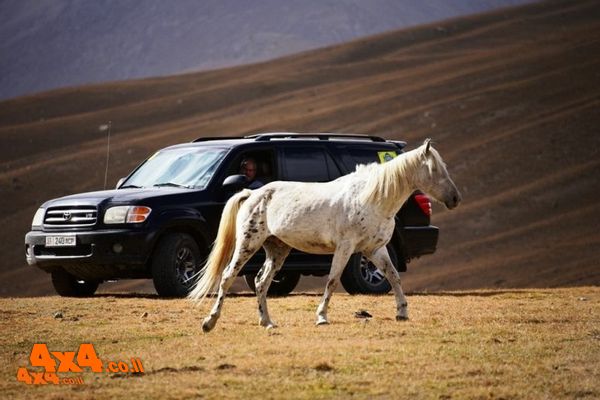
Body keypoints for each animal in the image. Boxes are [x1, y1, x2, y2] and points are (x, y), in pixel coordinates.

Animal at [190, 139, 462, 332]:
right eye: (435, 169)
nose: (455, 198)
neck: (370, 199)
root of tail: (252, 194)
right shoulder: (345, 248)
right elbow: (332, 280)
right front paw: (321, 317)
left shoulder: (375, 250)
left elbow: (394, 276)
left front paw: (402, 312)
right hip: (248, 243)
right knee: (227, 277)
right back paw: (209, 322)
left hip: (277, 249)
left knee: (261, 282)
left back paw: (267, 322)